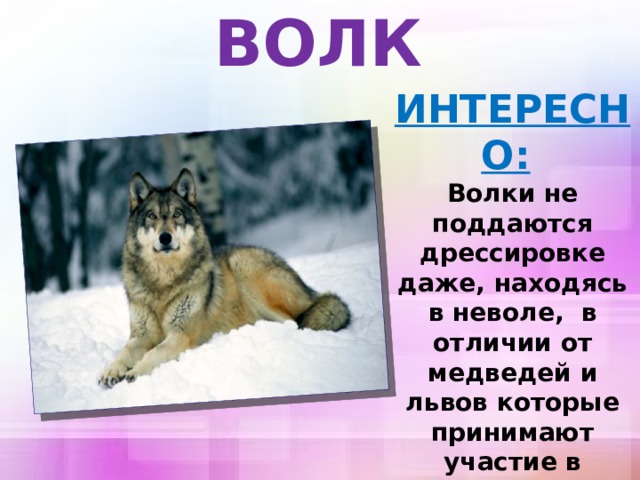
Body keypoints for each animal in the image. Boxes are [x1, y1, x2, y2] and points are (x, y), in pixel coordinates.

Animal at [98, 168, 351, 387]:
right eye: (152, 216)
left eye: (176, 215)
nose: (165, 237)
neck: (163, 281)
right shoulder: (141, 335)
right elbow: (125, 352)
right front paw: (111, 370)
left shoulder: (180, 334)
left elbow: (153, 353)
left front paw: (135, 372)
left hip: (244, 266)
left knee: (293, 322)